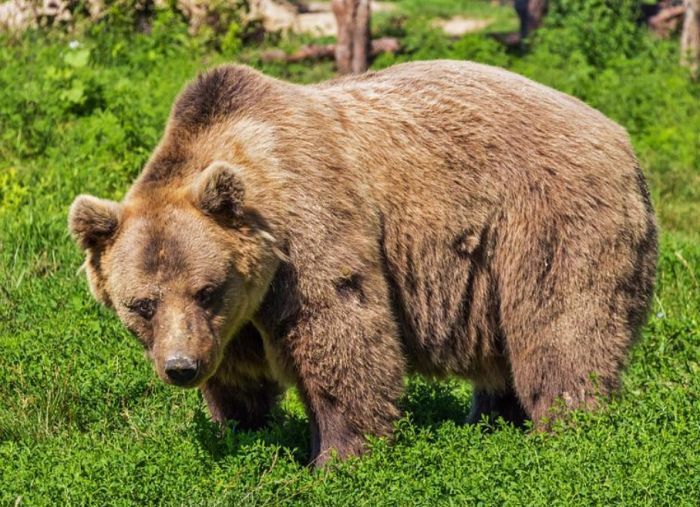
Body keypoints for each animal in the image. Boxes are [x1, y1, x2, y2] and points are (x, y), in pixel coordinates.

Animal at [68, 60, 657, 466]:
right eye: (141, 304)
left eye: (205, 289)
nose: (181, 367)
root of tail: (620, 136)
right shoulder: (234, 319)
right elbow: (238, 377)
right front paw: (243, 430)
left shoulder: (309, 234)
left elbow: (342, 335)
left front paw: (336, 457)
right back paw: (491, 421)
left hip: (548, 221)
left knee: (561, 329)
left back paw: (568, 430)